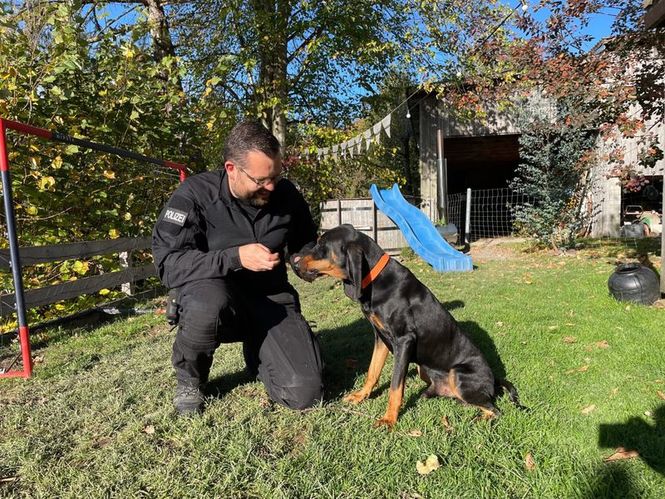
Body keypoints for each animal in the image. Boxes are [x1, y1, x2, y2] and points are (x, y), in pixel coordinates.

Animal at [294, 225, 520, 428]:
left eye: (322, 245)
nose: (294, 263)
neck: (376, 280)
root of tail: (494, 380)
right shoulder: (380, 338)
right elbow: (372, 371)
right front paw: (361, 396)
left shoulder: (404, 340)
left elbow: (395, 386)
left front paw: (389, 419)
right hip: (424, 370)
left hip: (458, 374)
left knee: (494, 409)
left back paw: (477, 420)